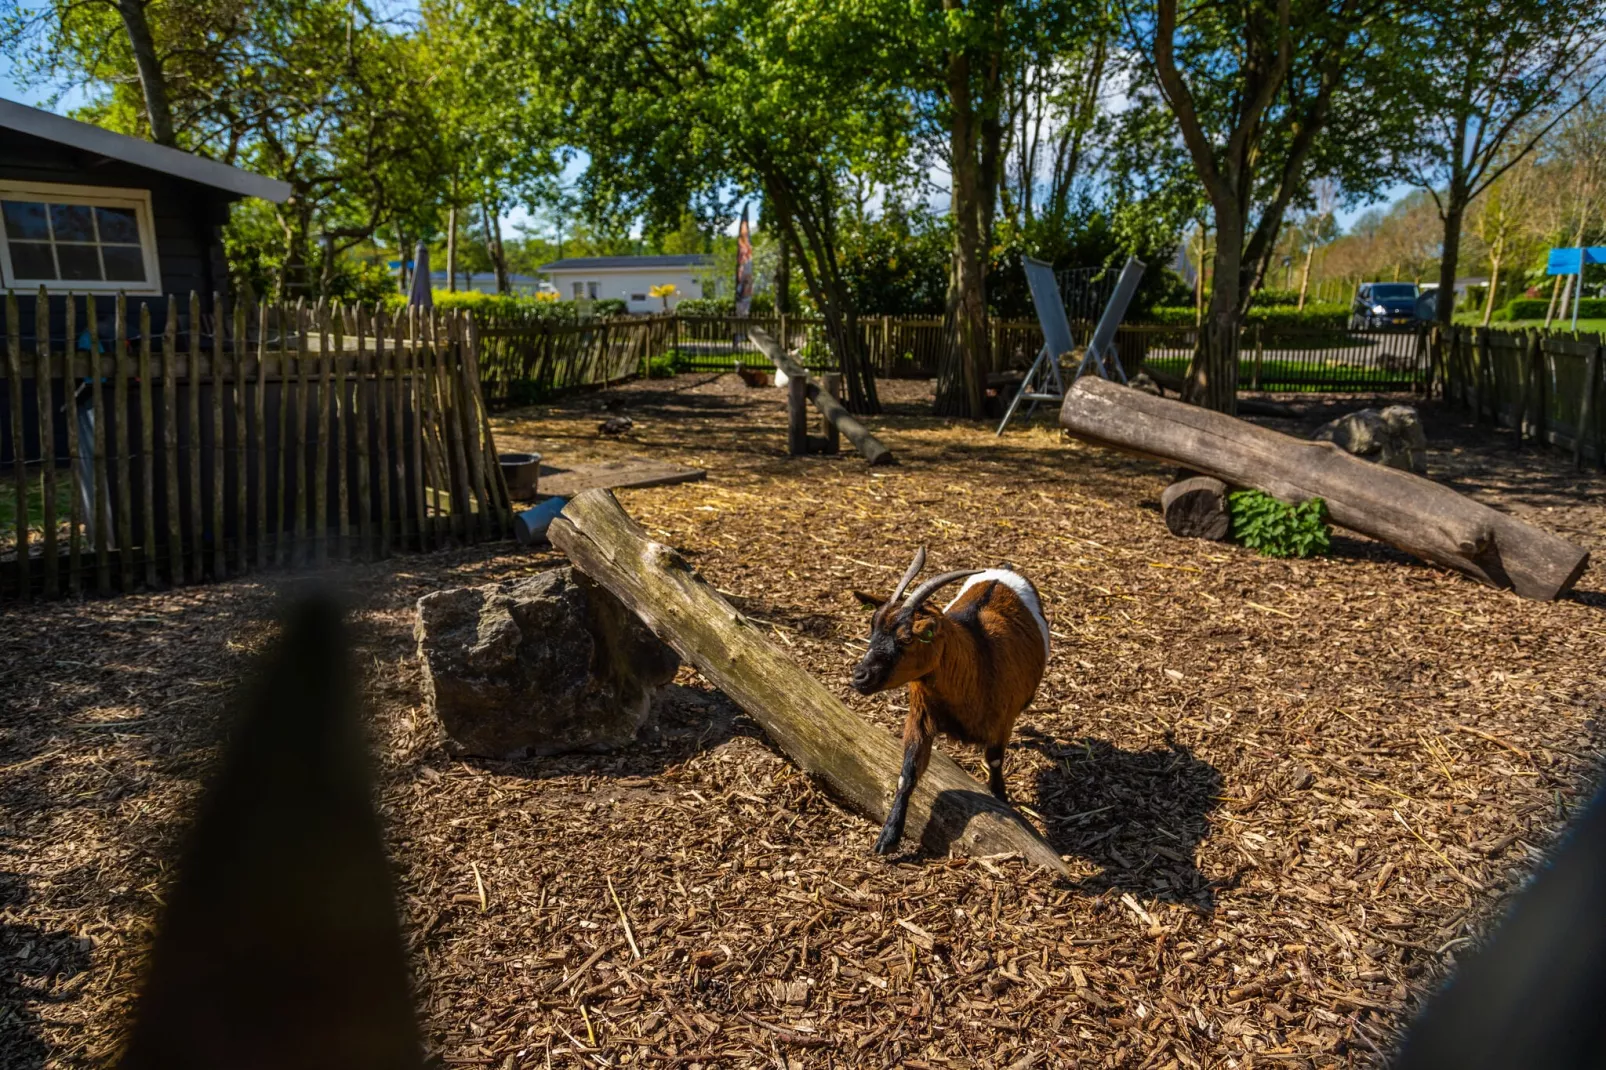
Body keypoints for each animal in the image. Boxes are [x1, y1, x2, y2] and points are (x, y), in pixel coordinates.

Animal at [847, 546, 1047, 854]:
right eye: (872, 629)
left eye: (907, 639)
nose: (860, 676)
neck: (978, 661)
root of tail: (1003, 571)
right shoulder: (920, 716)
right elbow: (907, 774)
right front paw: (888, 836)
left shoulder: (1001, 722)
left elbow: (995, 761)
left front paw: (1002, 799)